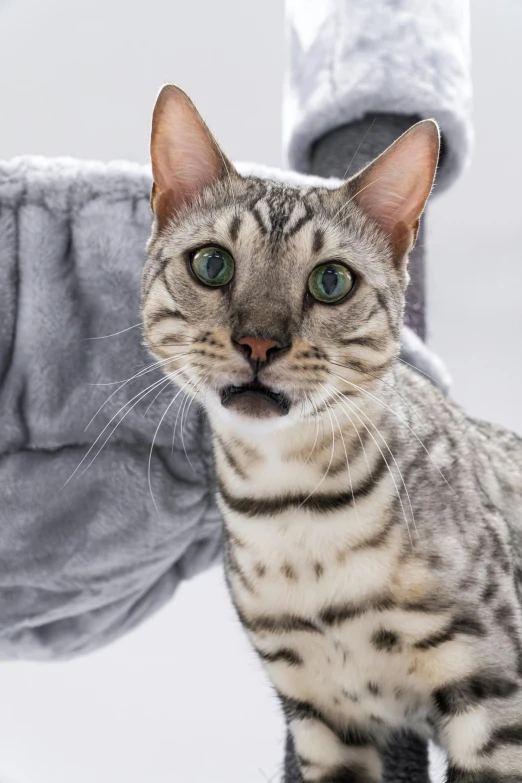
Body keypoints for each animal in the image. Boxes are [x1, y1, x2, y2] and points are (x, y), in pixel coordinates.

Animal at [140, 82, 520, 780]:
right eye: (212, 264)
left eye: (332, 280)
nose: (259, 341)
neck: (295, 510)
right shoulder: (319, 711)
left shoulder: (492, 690)